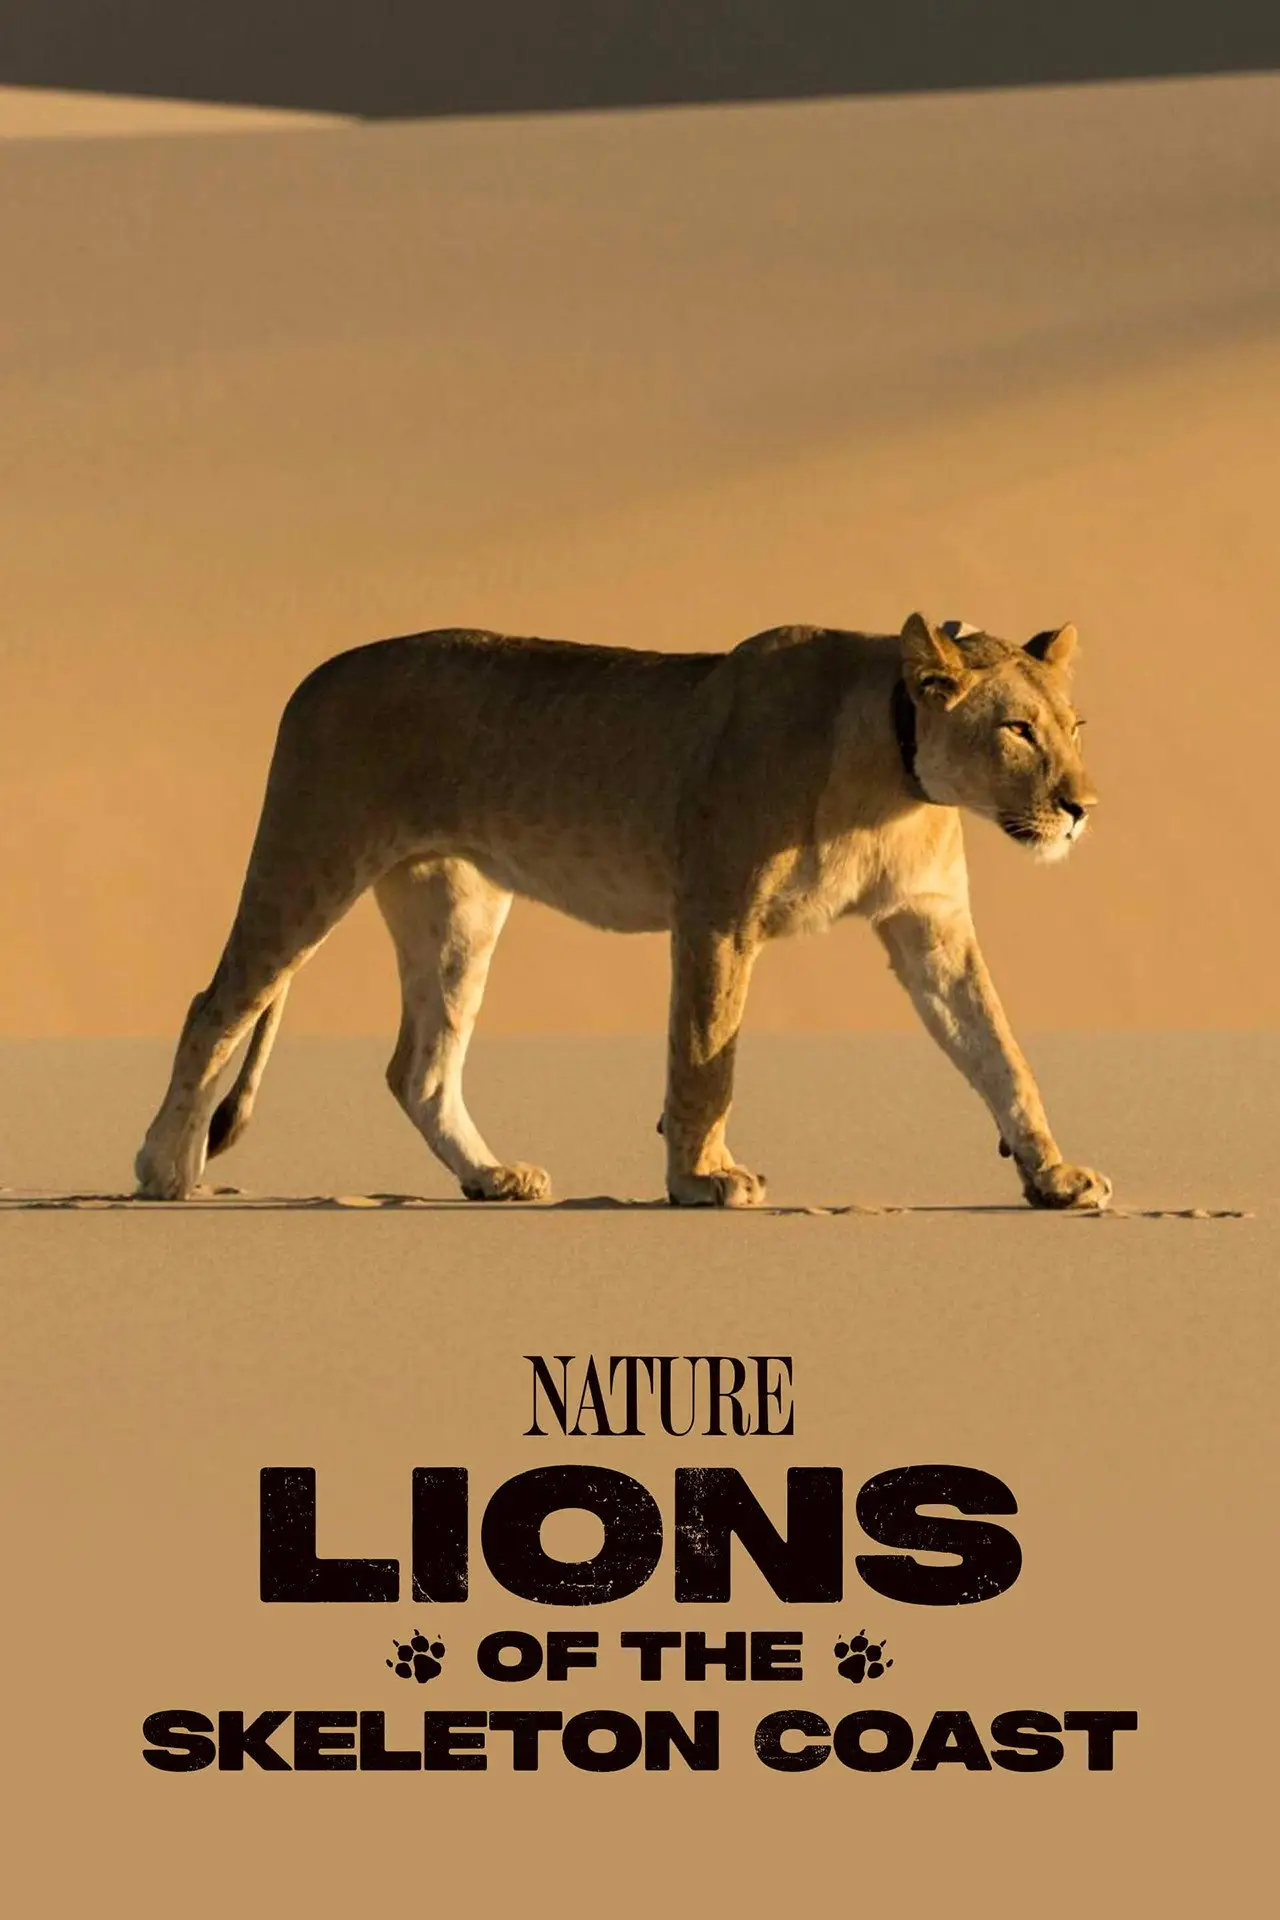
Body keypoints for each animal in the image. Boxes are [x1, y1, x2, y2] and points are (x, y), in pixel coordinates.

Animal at [135, 613, 1110, 1211]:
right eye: (1017, 729)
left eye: (1074, 727)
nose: (1081, 808)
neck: (898, 779)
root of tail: (316, 672)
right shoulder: (717, 912)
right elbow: (706, 1057)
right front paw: (703, 1180)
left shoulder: (930, 926)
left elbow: (1000, 1053)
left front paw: (1055, 1175)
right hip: (310, 858)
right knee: (215, 1007)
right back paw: (164, 1168)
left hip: (457, 906)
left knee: (419, 1066)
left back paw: (492, 1177)